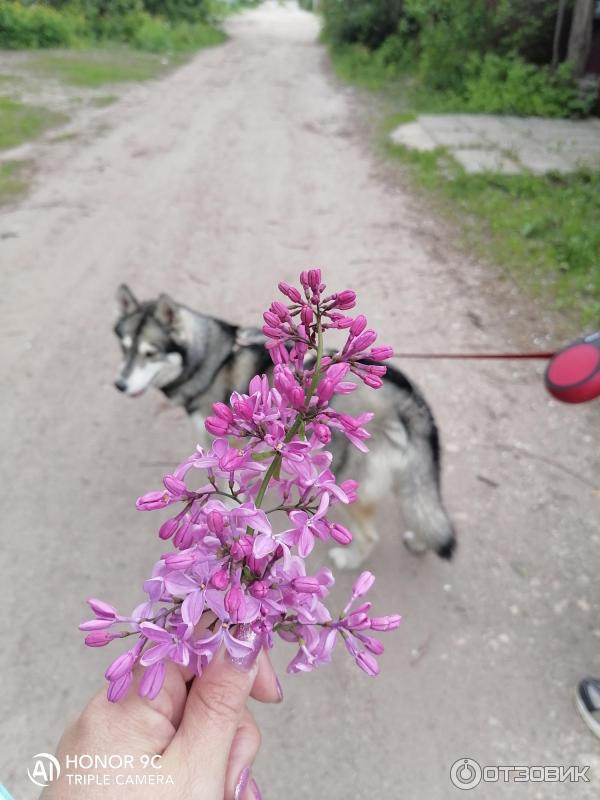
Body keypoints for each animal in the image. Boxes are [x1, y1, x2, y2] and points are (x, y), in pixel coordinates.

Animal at [115, 282, 458, 568]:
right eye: (124, 347)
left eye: (149, 353)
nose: (119, 384)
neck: (214, 359)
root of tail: (410, 398)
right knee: (421, 509)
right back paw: (418, 541)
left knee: (369, 532)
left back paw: (349, 558)